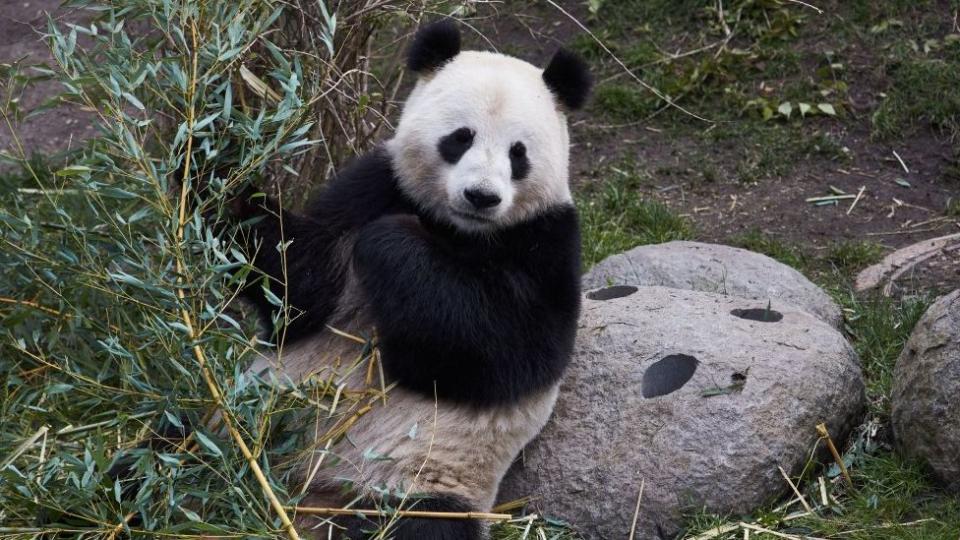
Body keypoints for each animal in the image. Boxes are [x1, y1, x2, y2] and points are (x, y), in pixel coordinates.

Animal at [234, 20, 592, 540]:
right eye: (460, 138)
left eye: (518, 153)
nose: (481, 196)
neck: (459, 229)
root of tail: (305, 502)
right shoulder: (376, 183)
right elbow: (298, 288)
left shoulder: (548, 241)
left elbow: (509, 351)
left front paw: (390, 240)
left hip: (417, 482)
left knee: (423, 524)